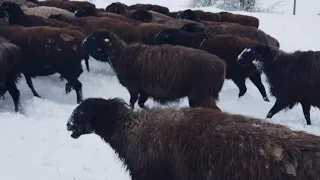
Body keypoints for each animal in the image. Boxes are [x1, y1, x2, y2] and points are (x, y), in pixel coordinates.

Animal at [82, 29, 228, 109]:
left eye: (94, 37)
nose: (83, 43)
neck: (120, 54)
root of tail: (221, 65)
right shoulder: (144, 90)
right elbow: (141, 104)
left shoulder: (133, 88)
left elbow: (132, 103)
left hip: (201, 95)